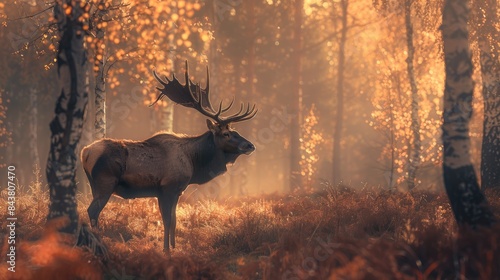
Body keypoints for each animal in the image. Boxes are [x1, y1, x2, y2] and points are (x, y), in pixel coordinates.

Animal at [81, 61, 258, 254]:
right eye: (226, 134)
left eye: (235, 131)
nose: (250, 145)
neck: (194, 162)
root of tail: (85, 152)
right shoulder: (169, 187)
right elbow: (167, 221)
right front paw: (166, 251)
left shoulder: (177, 190)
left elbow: (174, 220)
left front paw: (173, 248)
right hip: (105, 182)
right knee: (92, 211)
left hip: (94, 186)